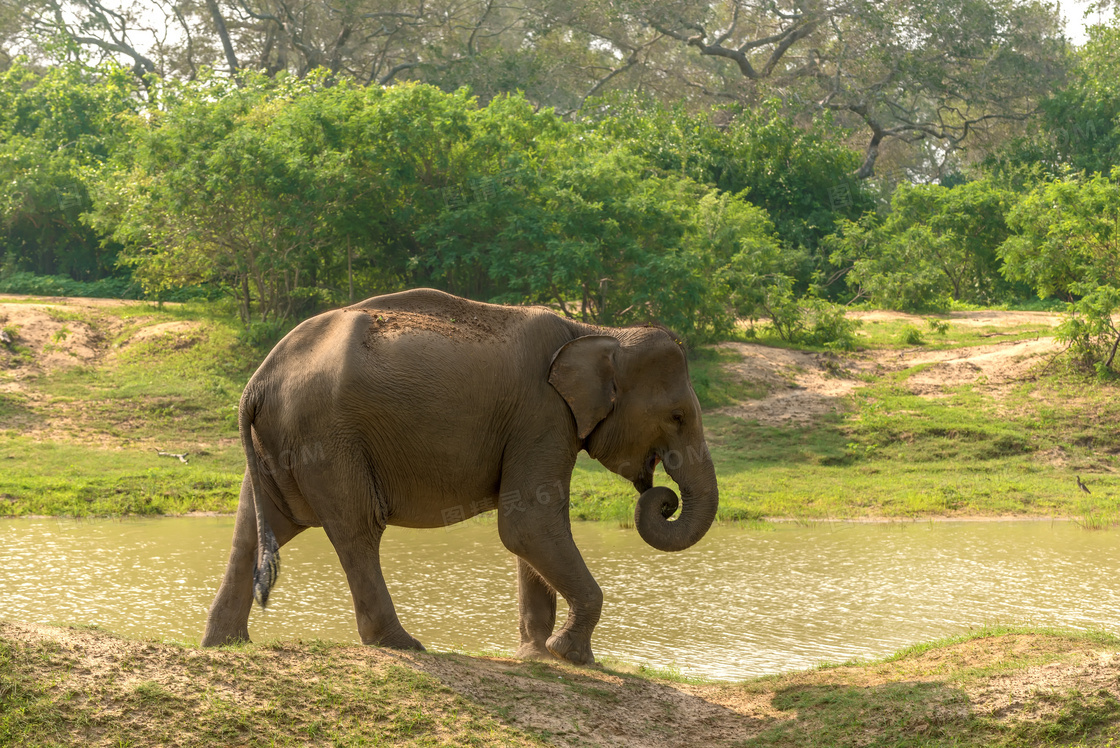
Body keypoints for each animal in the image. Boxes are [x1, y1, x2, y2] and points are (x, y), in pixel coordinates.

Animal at [202, 288, 721, 662]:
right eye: (677, 417)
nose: (663, 498)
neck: (595, 331)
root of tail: (257, 381)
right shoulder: (542, 413)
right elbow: (528, 524)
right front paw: (571, 657)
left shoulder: (542, 422)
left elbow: (531, 529)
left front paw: (535, 655)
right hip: (327, 437)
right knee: (357, 528)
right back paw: (401, 644)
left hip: (281, 444)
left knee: (253, 529)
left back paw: (224, 644)